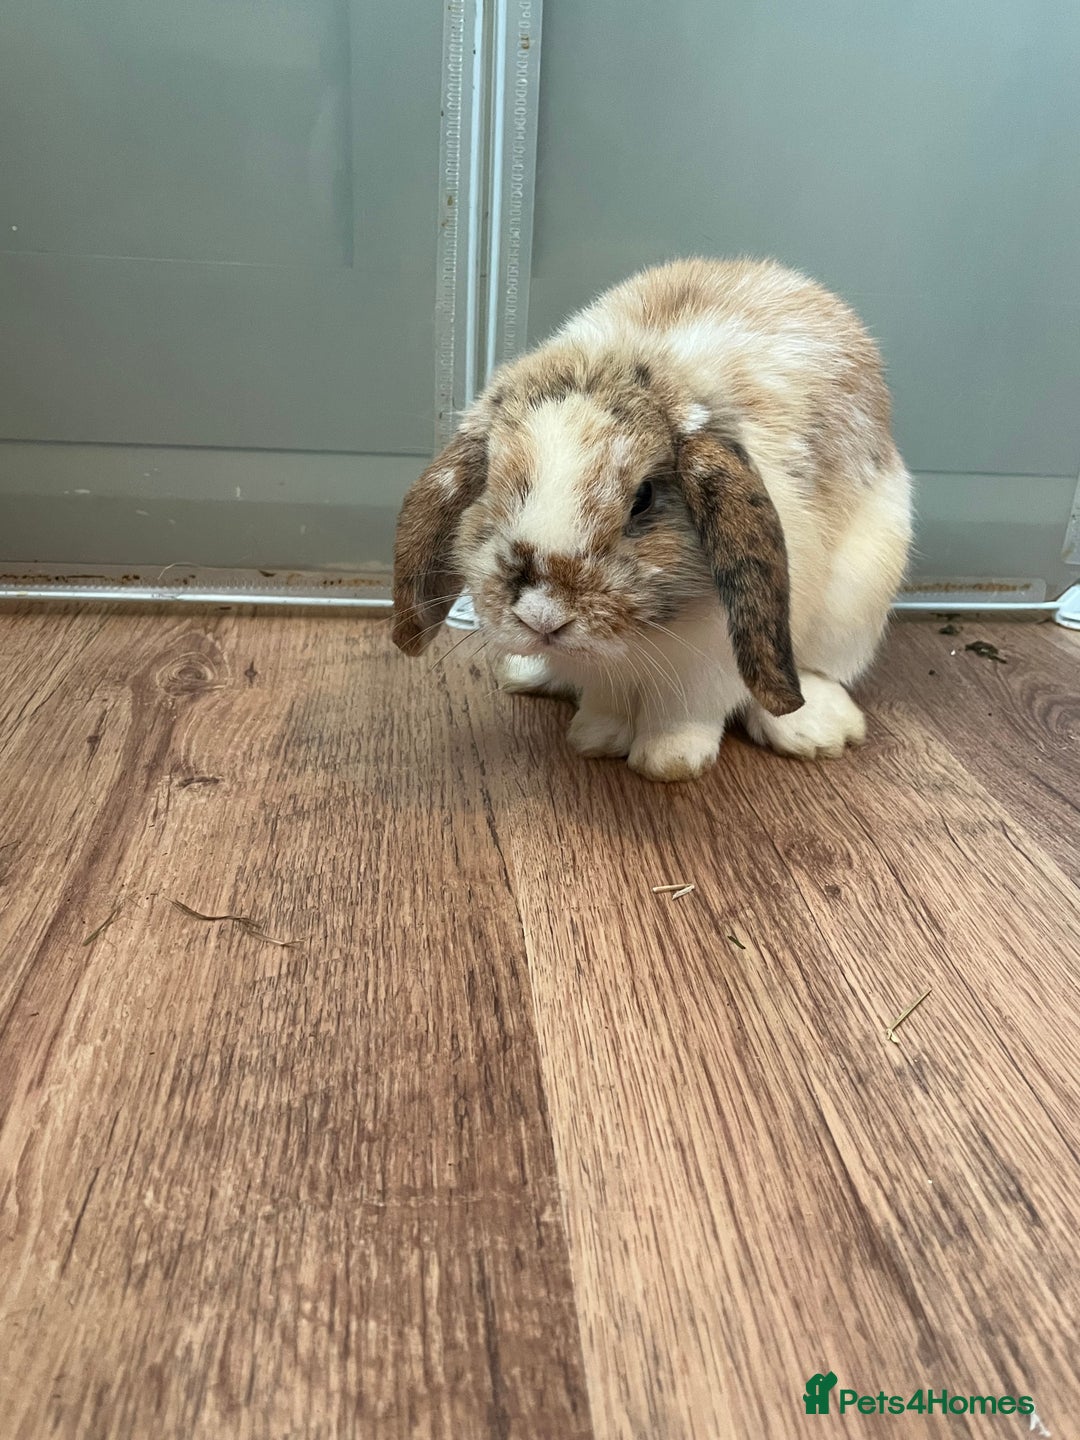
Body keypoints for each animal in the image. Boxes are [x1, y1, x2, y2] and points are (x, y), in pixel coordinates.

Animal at [392, 257, 913, 782]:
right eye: (489, 487)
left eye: (643, 498)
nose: (543, 616)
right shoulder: (607, 675)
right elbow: (606, 702)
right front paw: (596, 738)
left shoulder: (710, 666)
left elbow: (685, 714)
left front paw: (668, 760)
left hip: (853, 605)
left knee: (814, 672)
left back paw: (818, 730)